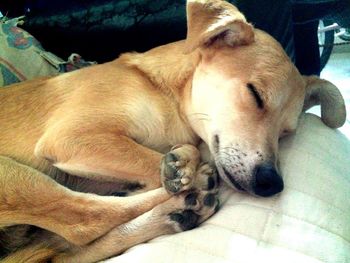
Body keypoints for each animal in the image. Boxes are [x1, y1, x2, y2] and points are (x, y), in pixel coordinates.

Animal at [0, 0, 346, 263]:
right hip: (11, 174)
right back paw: (185, 191)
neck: (165, 94)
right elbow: (154, 158)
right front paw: (180, 166)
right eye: (255, 95)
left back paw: (178, 210)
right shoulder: (73, 136)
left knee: (65, 247)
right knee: (85, 220)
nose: (271, 183)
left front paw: (178, 166)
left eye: (285, 132)